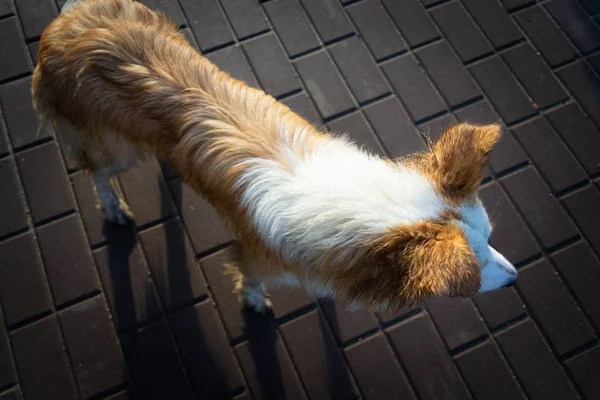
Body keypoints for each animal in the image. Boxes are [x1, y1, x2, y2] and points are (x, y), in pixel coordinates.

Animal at [31, 0, 516, 314]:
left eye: (493, 237)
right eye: (475, 271)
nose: (515, 278)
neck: (364, 205)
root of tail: (69, 20)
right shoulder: (256, 257)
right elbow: (250, 277)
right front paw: (254, 301)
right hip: (117, 147)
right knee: (95, 172)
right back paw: (114, 209)